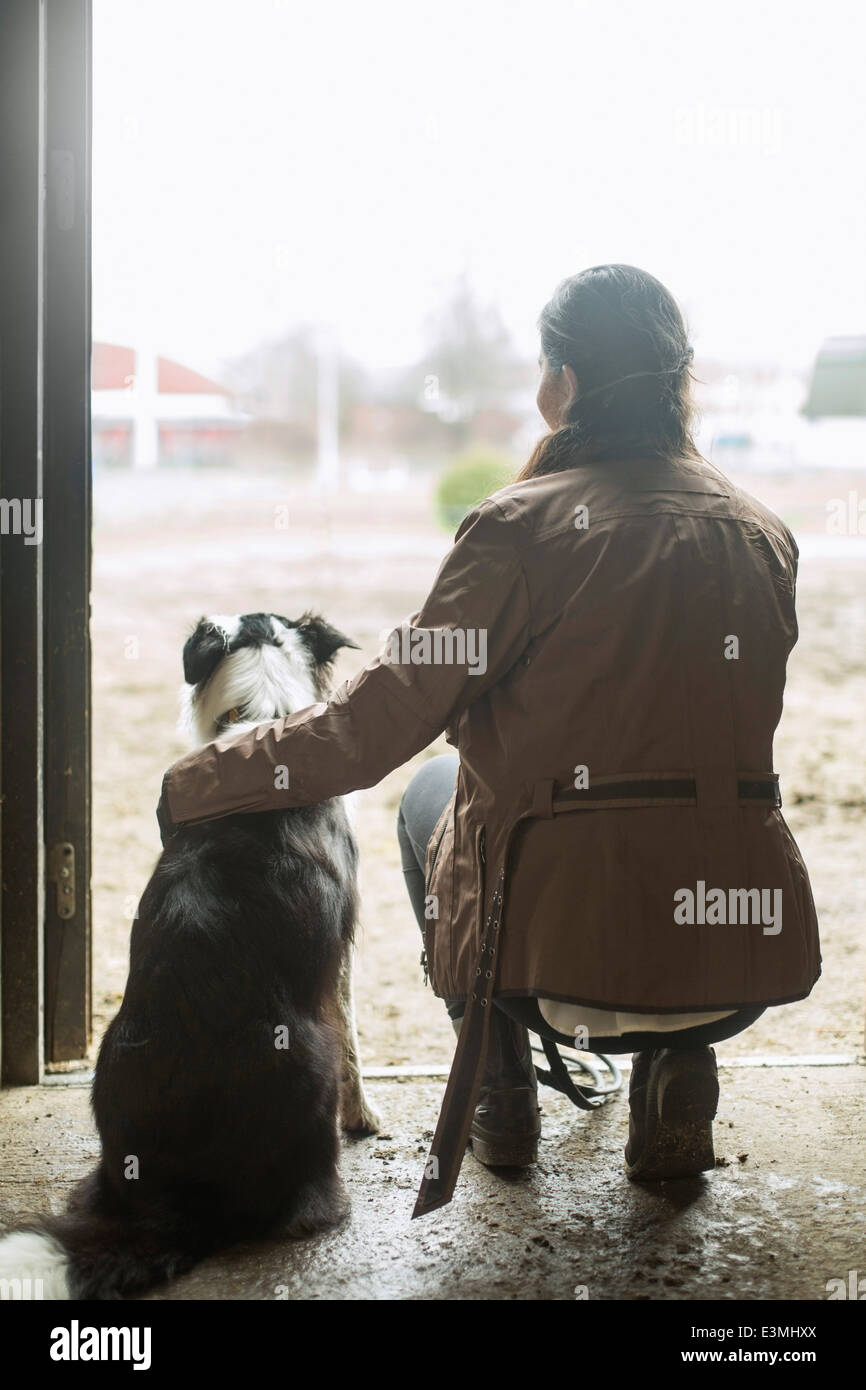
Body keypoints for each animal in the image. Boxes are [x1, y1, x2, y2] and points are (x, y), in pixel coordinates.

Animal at [0, 614, 378, 1295]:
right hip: (305, 1055)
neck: (262, 711)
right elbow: (354, 1039)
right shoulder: (339, 948)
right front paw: (363, 1116)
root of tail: (173, 1203)